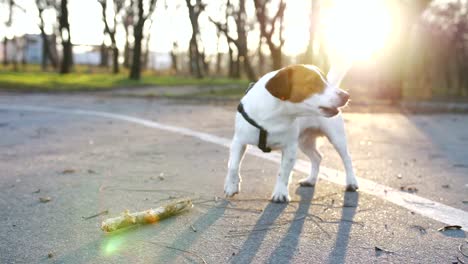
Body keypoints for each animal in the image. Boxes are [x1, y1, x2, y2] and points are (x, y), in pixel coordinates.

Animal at [223, 63, 358, 202]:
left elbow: (283, 172)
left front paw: (280, 193)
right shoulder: (238, 142)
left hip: (336, 138)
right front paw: (231, 186)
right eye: (313, 82)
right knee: (317, 157)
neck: (275, 115)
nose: (346, 95)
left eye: (326, 80)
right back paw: (311, 180)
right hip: (304, 142)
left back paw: (351, 182)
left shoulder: (290, 148)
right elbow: (233, 166)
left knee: (347, 159)